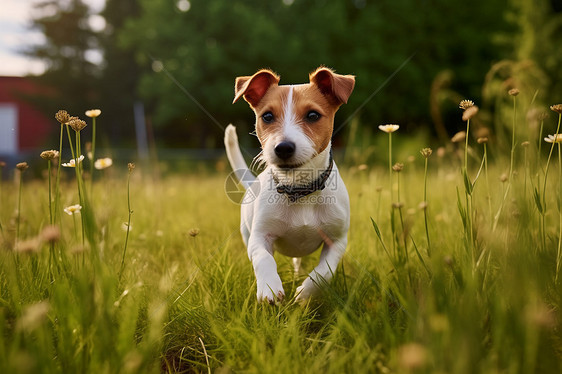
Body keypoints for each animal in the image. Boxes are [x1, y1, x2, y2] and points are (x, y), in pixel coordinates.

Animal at [224, 65, 352, 302]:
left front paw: (305, 293)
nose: (283, 147)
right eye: (267, 116)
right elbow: (263, 258)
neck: (299, 190)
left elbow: (325, 271)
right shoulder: (259, 237)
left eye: (313, 115)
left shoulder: (337, 241)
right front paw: (269, 287)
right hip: (247, 233)